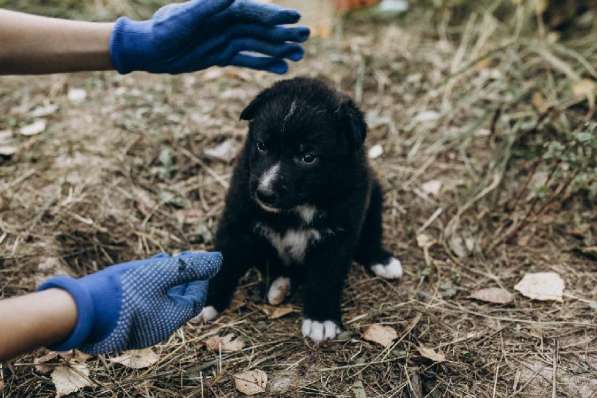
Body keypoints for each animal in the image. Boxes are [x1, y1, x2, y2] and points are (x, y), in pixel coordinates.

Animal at [199, 77, 400, 342]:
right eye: (262, 145)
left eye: (308, 157)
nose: (264, 193)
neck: (298, 207)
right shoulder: (238, 218)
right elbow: (225, 260)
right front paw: (206, 301)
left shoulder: (338, 232)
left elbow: (326, 277)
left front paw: (320, 319)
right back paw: (280, 285)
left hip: (374, 193)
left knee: (371, 233)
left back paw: (382, 260)